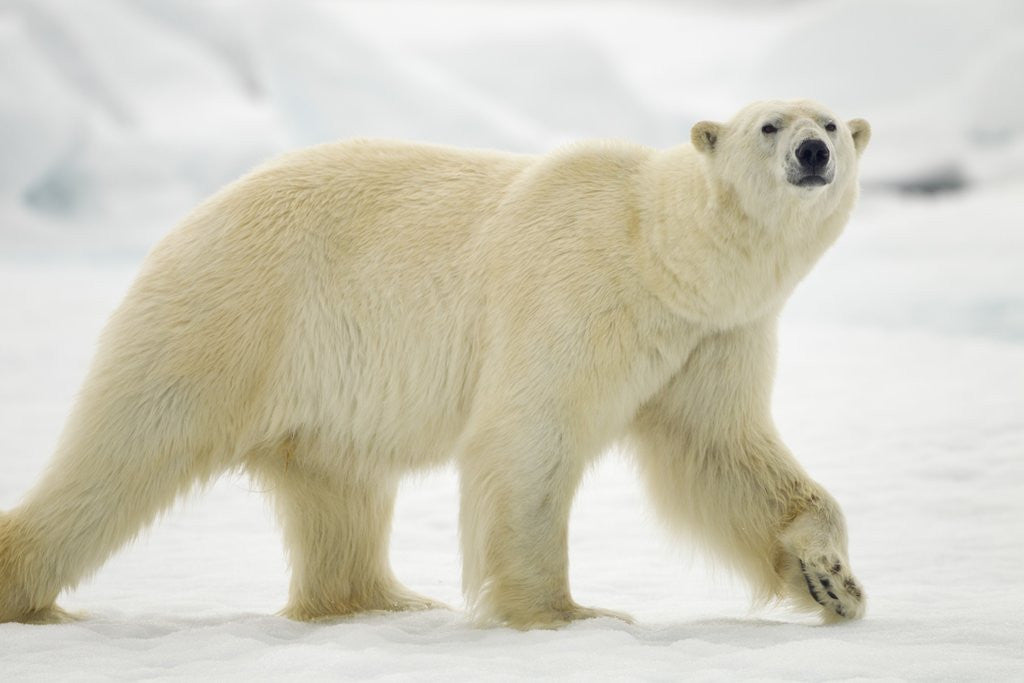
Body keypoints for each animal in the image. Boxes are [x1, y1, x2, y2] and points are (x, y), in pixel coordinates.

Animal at [0, 99, 871, 628]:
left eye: (831, 119)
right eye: (769, 125)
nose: (814, 150)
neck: (658, 251)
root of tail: (190, 218)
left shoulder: (710, 337)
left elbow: (724, 452)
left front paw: (834, 579)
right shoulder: (572, 292)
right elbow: (529, 439)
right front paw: (565, 611)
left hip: (317, 380)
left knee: (337, 487)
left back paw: (381, 600)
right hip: (230, 314)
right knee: (126, 448)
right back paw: (30, 590)